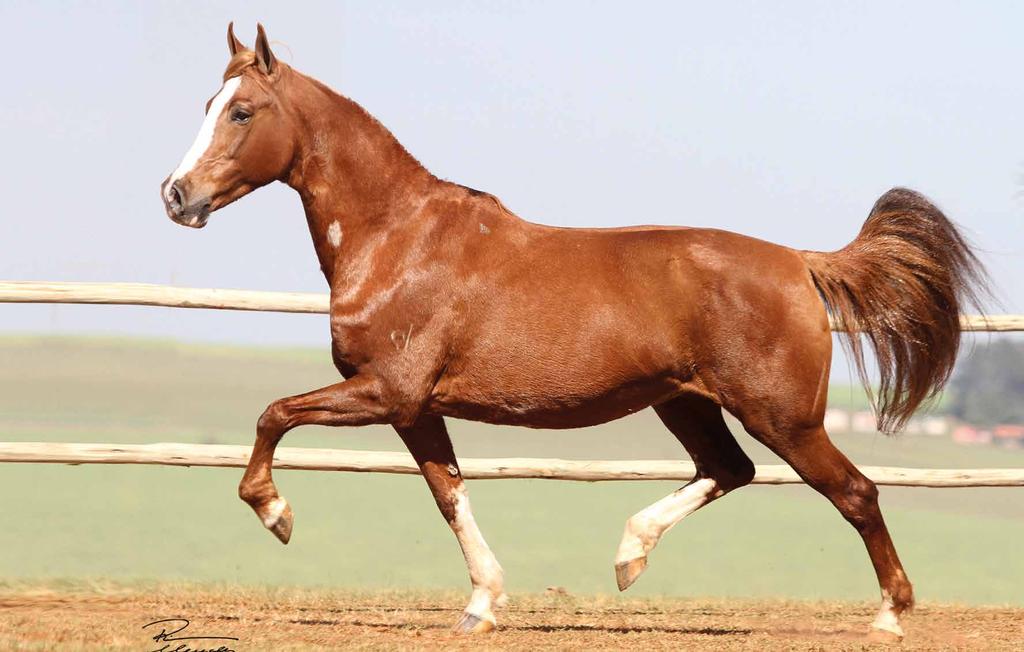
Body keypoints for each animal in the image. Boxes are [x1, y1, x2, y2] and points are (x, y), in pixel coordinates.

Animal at [161, 24, 991, 634]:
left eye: (241, 111)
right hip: (687, 402)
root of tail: (798, 261)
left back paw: (889, 616)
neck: (399, 238)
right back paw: (629, 555)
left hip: (783, 416)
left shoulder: (384, 391)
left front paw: (277, 515)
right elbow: (448, 493)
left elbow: (273, 415)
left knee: (854, 491)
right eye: (206, 102)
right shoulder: (416, 408)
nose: (175, 195)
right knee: (728, 470)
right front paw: (483, 604)